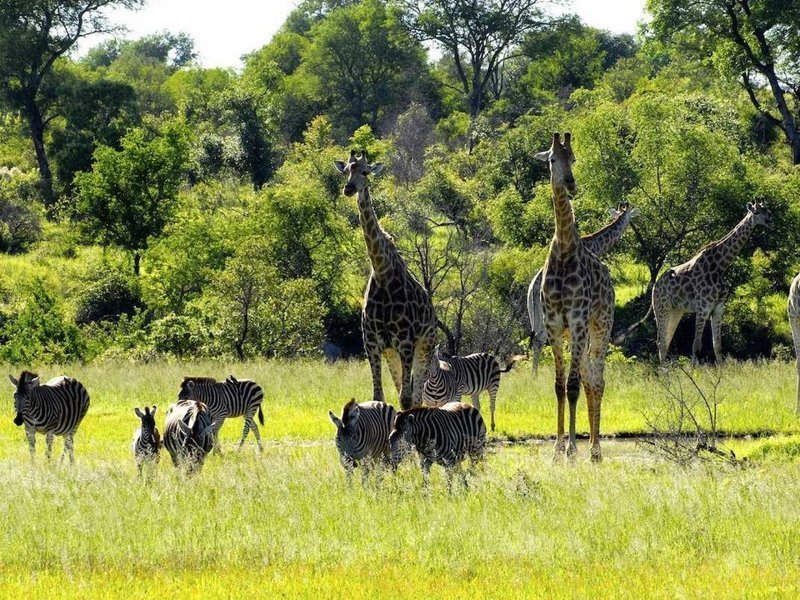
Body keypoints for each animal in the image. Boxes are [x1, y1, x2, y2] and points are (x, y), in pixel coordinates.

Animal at [336, 152, 440, 410]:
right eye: (347, 170)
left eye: (365, 172)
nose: (349, 188)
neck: (383, 273)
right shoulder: (372, 343)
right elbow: (378, 395)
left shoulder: (406, 342)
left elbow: (406, 399)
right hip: (391, 352)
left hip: (425, 344)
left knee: (417, 397)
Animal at [528, 202, 640, 370]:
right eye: (629, 218)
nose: (631, 227)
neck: (596, 245)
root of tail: (532, 288)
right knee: (540, 339)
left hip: (534, 314)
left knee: (536, 339)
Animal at [652, 202, 772, 364]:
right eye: (757, 212)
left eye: (768, 211)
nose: (769, 221)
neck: (721, 266)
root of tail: (655, 287)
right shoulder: (703, 307)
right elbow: (696, 346)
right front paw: (694, 369)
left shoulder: (718, 308)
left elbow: (718, 345)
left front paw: (722, 369)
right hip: (661, 308)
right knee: (661, 341)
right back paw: (663, 370)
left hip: (676, 310)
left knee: (666, 340)